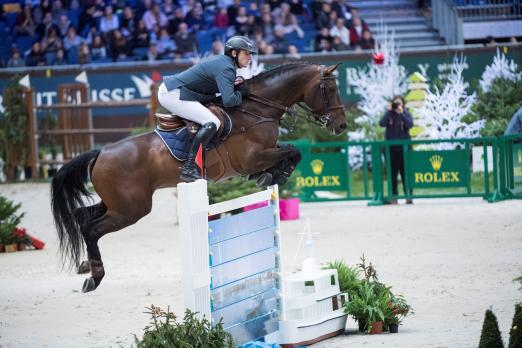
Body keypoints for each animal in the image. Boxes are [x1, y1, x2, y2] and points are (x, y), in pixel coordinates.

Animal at [51, 61, 346, 290]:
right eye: (330, 90)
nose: (341, 126)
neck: (257, 110)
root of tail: (100, 152)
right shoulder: (252, 158)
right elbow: (294, 151)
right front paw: (275, 175)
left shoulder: (264, 153)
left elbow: (292, 152)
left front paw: (270, 176)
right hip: (131, 209)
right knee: (92, 228)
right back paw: (95, 277)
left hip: (117, 204)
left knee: (83, 217)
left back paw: (86, 265)